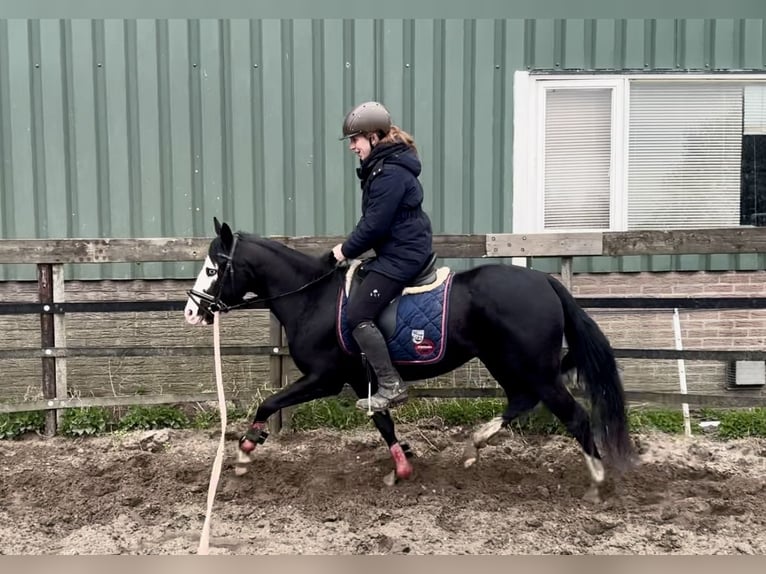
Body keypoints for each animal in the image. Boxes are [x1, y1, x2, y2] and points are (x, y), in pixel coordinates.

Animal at [184, 217, 635, 497]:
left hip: (533, 367)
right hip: (505, 361)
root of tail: (545, 281)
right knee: (522, 399)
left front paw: (245, 450)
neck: (312, 298)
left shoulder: (324, 378)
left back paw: (597, 480)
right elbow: (384, 422)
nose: (192, 311)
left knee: (573, 415)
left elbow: (269, 401)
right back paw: (475, 444)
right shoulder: (362, 380)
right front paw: (400, 469)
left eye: (213, 268)